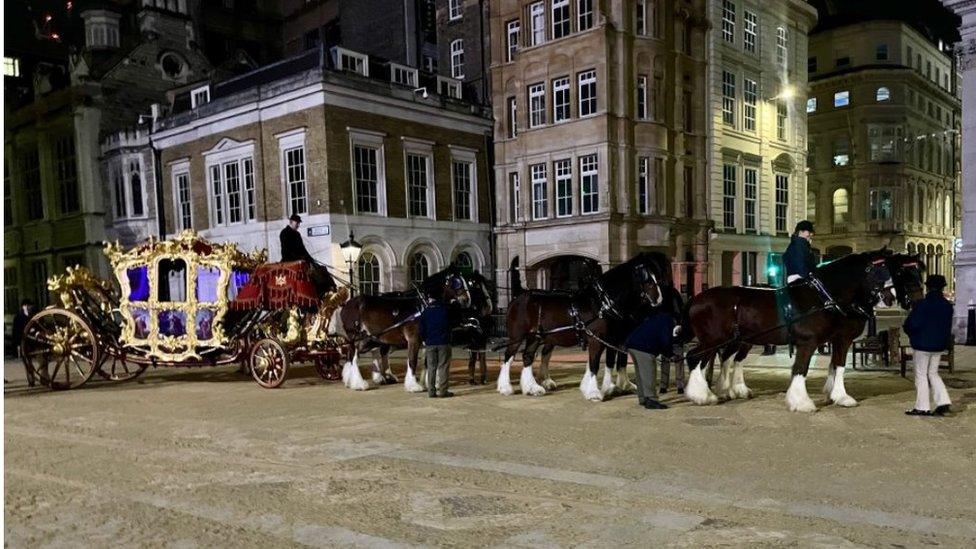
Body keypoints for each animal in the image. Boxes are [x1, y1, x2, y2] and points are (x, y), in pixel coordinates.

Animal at [500, 255, 676, 400]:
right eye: (648, 280)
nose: (659, 299)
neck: (602, 303)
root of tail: (517, 298)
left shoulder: (612, 339)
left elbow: (613, 362)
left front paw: (613, 387)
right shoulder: (597, 338)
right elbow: (595, 363)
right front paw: (594, 392)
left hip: (535, 337)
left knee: (528, 357)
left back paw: (532, 388)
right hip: (517, 337)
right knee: (509, 357)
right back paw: (505, 388)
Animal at [680, 249, 924, 412]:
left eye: (892, 270)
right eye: (874, 269)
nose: (889, 298)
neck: (825, 298)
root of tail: (697, 298)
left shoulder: (837, 339)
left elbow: (837, 366)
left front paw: (837, 395)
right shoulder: (814, 341)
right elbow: (801, 369)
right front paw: (802, 402)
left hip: (734, 340)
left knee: (719, 359)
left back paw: (723, 391)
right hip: (713, 340)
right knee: (695, 358)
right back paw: (703, 395)